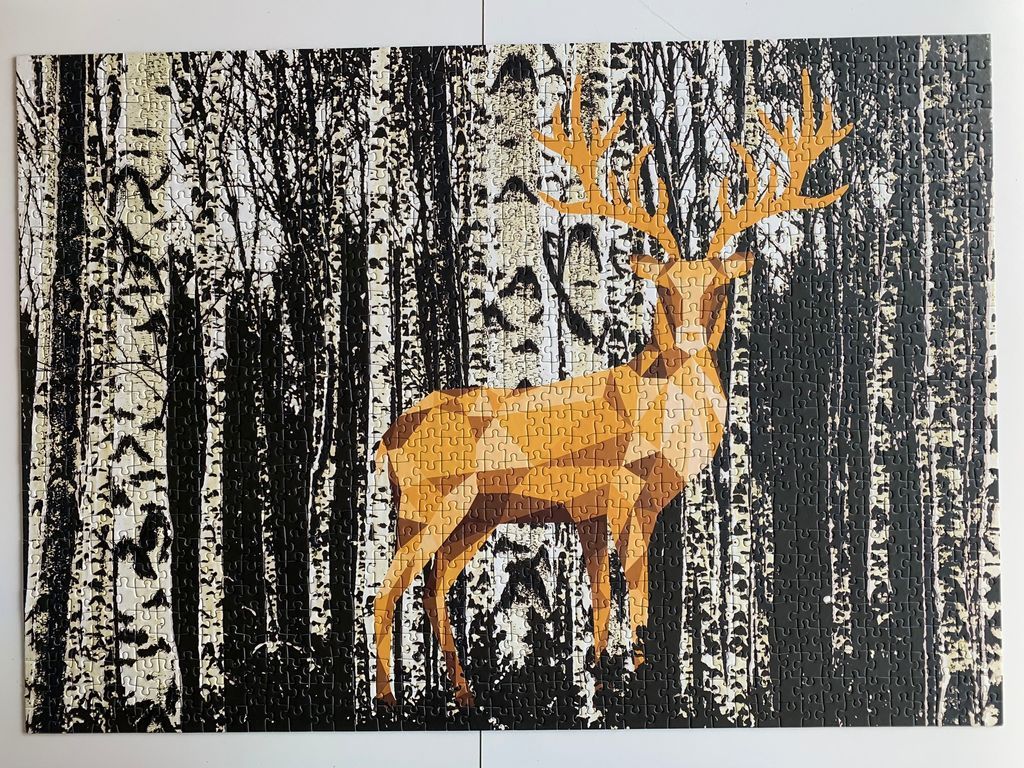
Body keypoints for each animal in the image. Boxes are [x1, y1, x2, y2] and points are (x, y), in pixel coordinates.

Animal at [372, 69, 852, 707]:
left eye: (719, 286)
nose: (692, 338)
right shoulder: (622, 489)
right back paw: (386, 699)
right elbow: (634, 592)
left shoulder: (597, 509)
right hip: (429, 501)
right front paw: (637, 683)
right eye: (666, 288)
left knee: (430, 586)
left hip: (475, 515)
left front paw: (602, 682)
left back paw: (464, 695)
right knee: (385, 590)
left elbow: (607, 597)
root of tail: (388, 437)